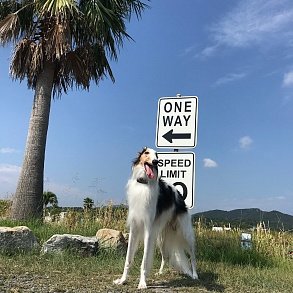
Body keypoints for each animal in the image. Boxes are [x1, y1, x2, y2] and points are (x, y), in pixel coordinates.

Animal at [113, 146, 197, 288]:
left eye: (157, 155)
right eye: (146, 153)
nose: (156, 161)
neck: (143, 184)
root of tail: (178, 193)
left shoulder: (148, 229)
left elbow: (144, 261)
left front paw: (142, 283)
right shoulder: (134, 228)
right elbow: (128, 259)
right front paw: (123, 280)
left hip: (185, 233)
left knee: (192, 256)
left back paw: (195, 275)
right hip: (161, 238)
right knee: (165, 256)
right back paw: (160, 272)